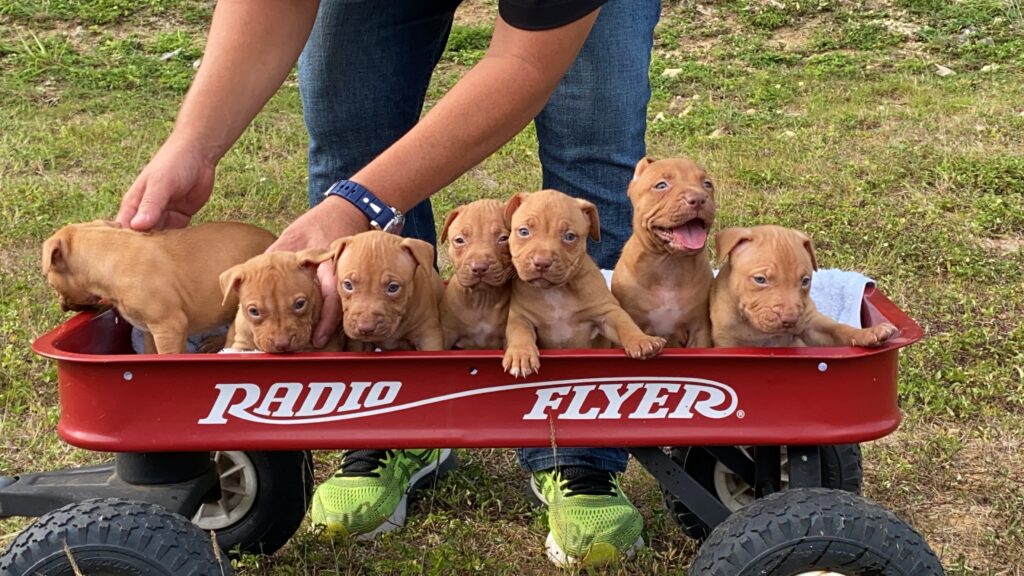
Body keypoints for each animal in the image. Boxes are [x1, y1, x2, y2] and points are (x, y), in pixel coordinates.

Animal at [41, 219, 276, 352]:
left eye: (51, 283)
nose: (62, 304)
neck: (111, 254)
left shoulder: (169, 327)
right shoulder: (149, 330)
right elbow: (149, 353)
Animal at [501, 188, 663, 377]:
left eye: (570, 236)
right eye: (523, 232)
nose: (542, 262)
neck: (555, 291)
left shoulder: (607, 312)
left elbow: (624, 323)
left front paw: (641, 339)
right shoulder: (519, 317)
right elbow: (520, 333)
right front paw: (521, 355)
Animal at [708, 225, 901, 344]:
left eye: (805, 281)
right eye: (760, 279)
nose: (790, 319)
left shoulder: (812, 325)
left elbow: (838, 328)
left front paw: (868, 333)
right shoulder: (726, 341)